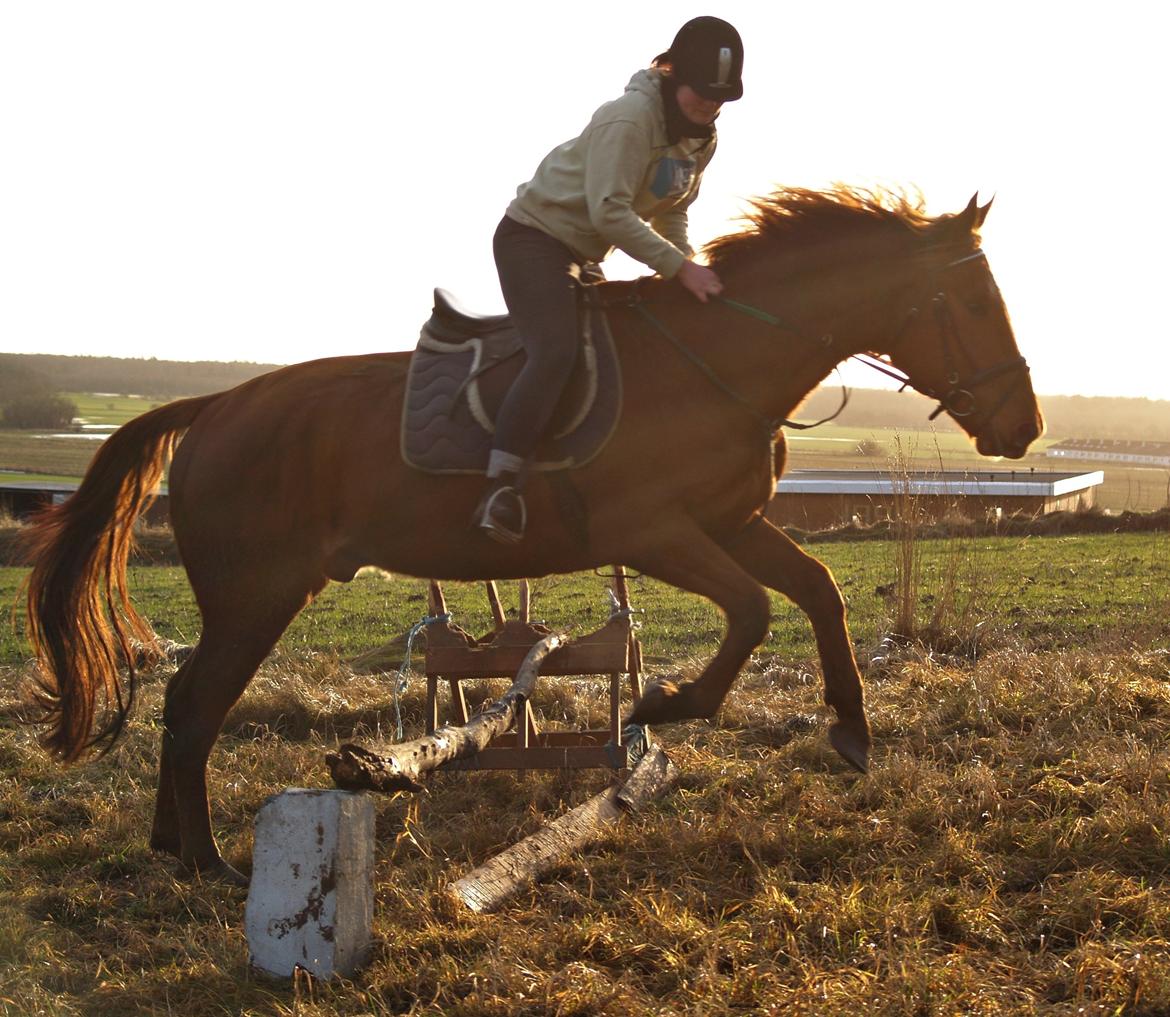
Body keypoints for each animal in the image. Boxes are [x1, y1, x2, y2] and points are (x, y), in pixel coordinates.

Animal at [22, 184, 1043, 880]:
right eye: (970, 304)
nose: (1023, 427)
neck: (717, 361)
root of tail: (215, 407)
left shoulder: (732, 520)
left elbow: (817, 592)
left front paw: (854, 731)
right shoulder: (658, 529)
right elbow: (752, 612)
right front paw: (669, 701)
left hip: (249, 597)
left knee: (179, 701)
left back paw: (169, 843)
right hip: (255, 595)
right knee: (195, 707)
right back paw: (205, 860)